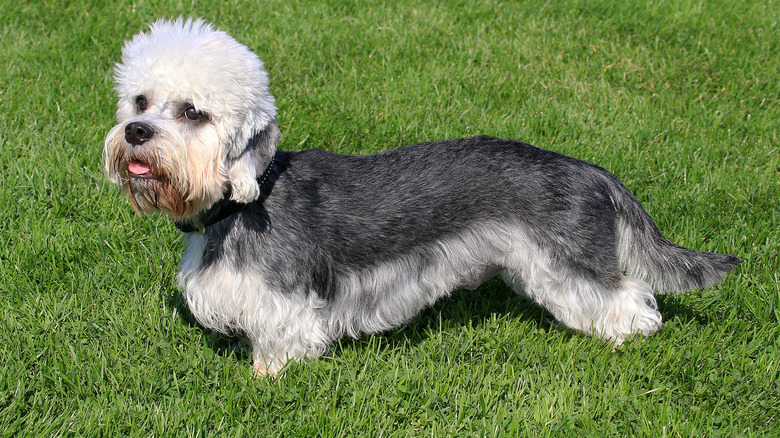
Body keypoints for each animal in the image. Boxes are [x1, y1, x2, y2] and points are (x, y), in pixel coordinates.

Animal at [102, 18, 736, 374]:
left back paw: (626, 337)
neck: (243, 203)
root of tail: (592, 171)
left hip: (569, 264)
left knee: (629, 298)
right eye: (141, 102)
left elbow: (279, 344)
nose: (135, 133)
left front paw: (264, 378)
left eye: (193, 112)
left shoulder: (284, 305)